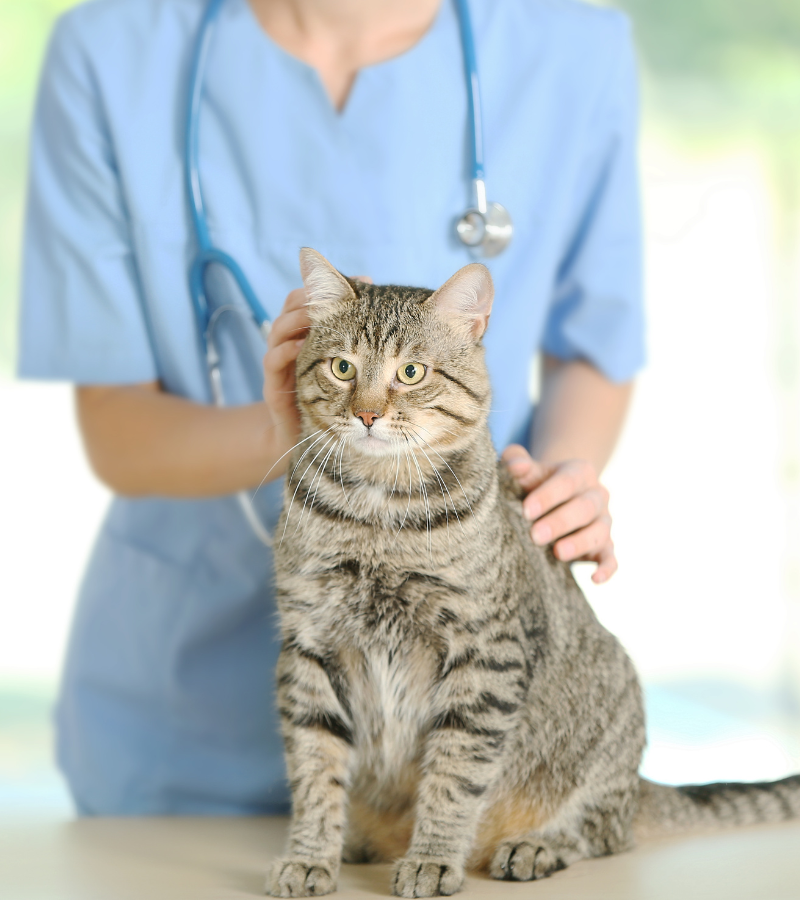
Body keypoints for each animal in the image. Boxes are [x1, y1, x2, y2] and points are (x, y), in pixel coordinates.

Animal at [264, 246, 800, 900]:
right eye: (342, 368)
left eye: (411, 373)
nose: (366, 413)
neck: (378, 513)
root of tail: (639, 787)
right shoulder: (309, 644)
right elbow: (315, 769)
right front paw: (310, 854)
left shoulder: (485, 652)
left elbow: (454, 775)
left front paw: (432, 857)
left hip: (612, 716)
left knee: (604, 832)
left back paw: (536, 846)